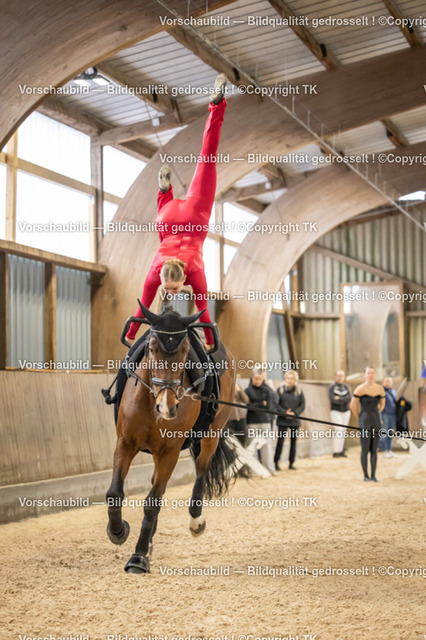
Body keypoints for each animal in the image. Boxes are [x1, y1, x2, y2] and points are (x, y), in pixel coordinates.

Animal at [105, 302, 237, 574]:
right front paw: (118, 531)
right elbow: (115, 493)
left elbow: (153, 502)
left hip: (211, 434)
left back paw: (195, 520)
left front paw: (138, 557)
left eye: (185, 351)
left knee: (201, 470)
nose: (168, 407)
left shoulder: (170, 452)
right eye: (151, 349)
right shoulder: (125, 443)